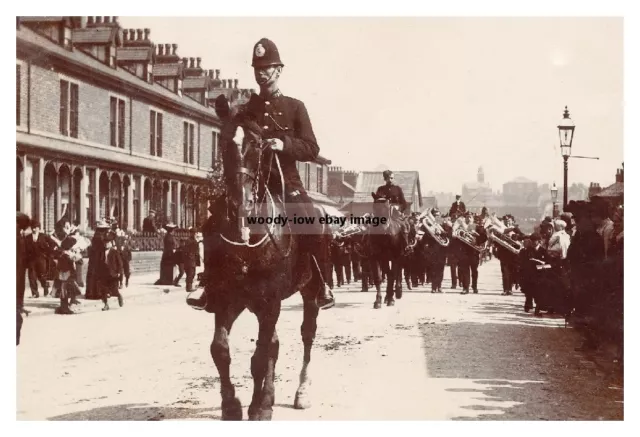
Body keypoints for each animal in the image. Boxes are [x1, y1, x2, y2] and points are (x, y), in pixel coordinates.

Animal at [205, 95, 332, 418]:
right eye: (224, 141)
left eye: (256, 144)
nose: (241, 203)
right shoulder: (227, 298)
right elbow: (220, 350)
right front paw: (232, 405)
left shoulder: (270, 302)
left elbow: (260, 356)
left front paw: (258, 407)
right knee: (274, 343)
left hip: (309, 293)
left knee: (306, 335)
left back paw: (300, 392)